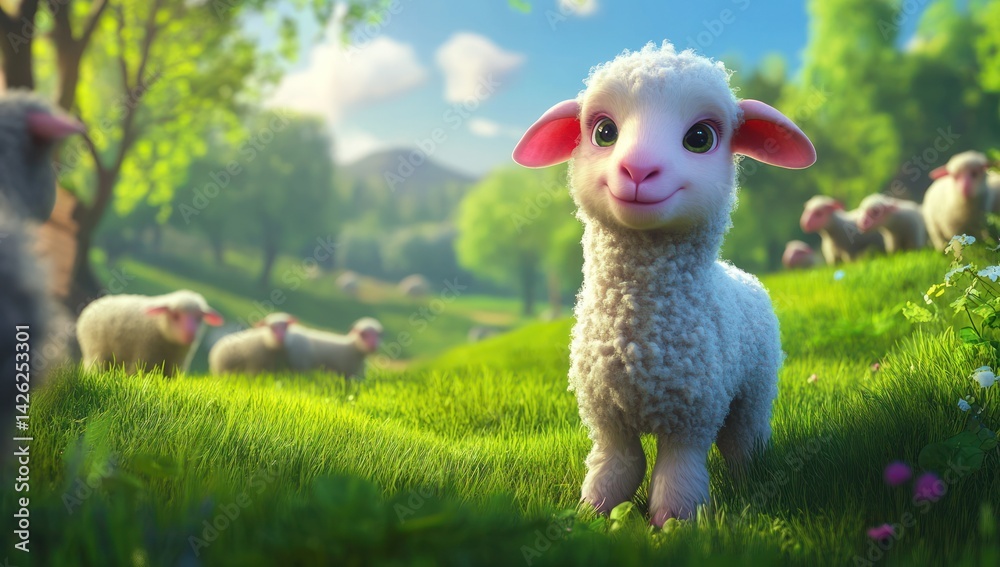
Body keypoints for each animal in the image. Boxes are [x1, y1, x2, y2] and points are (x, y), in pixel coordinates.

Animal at [76, 290, 224, 377]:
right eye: (175, 316)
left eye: (199, 318)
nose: (190, 335)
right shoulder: (144, 356)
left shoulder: (176, 364)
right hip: (95, 352)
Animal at [511, 41, 816, 526]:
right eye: (604, 132)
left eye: (700, 138)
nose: (638, 169)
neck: (639, 341)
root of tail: (738, 271)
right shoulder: (605, 416)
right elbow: (616, 468)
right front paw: (592, 514)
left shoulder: (692, 416)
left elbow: (677, 475)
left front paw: (674, 523)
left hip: (755, 384)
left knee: (743, 440)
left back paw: (750, 481)